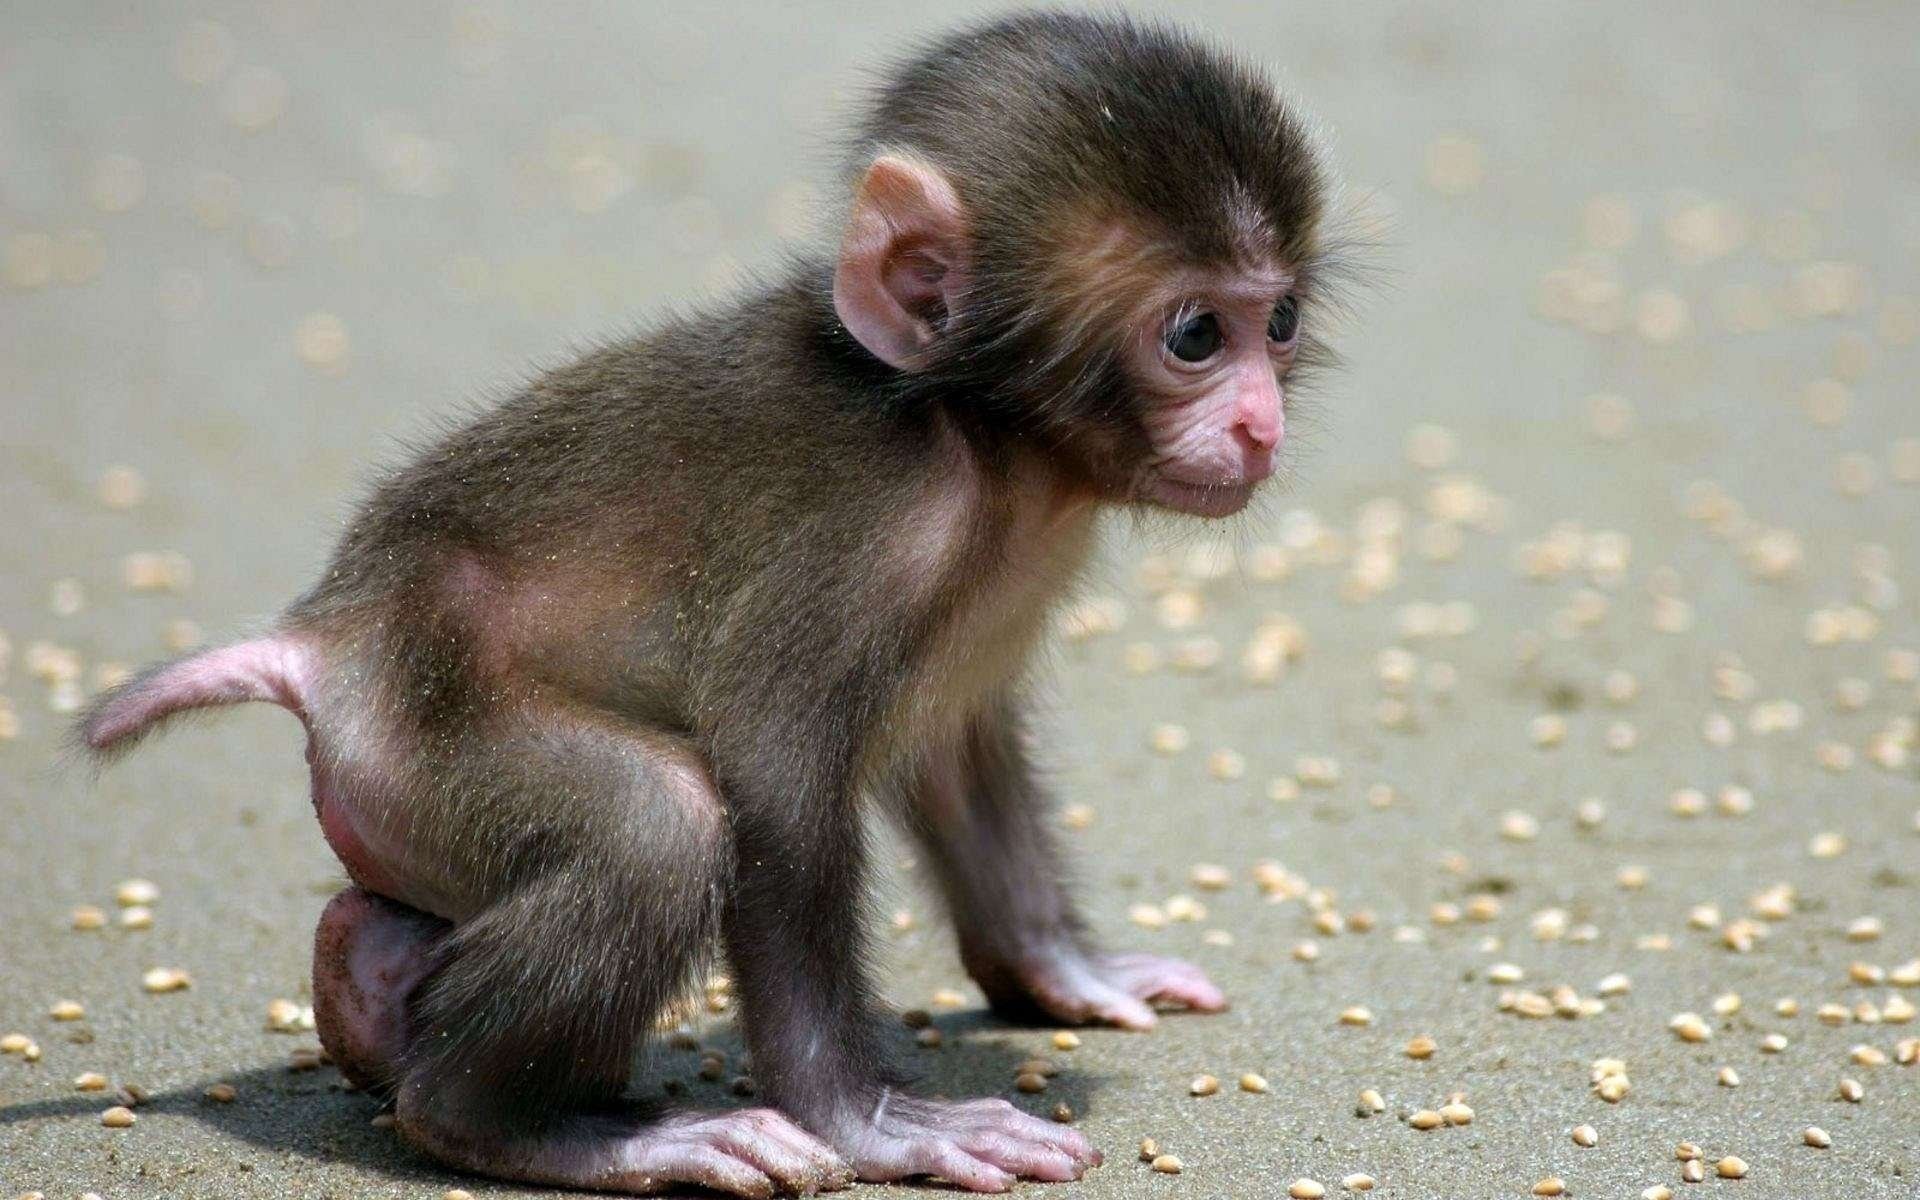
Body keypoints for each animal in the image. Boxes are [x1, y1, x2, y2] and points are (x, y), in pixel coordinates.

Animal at [79, 11, 1337, 1197]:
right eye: (1194, 335)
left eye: (1276, 323)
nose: (1261, 425)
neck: (977, 433)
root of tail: (325, 639)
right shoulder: (864, 536)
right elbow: (774, 779)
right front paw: (868, 1124)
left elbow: (952, 749)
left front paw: (1060, 971)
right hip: (418, 740)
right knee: (658, 824)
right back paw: (520, 1126)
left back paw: (369, 989)